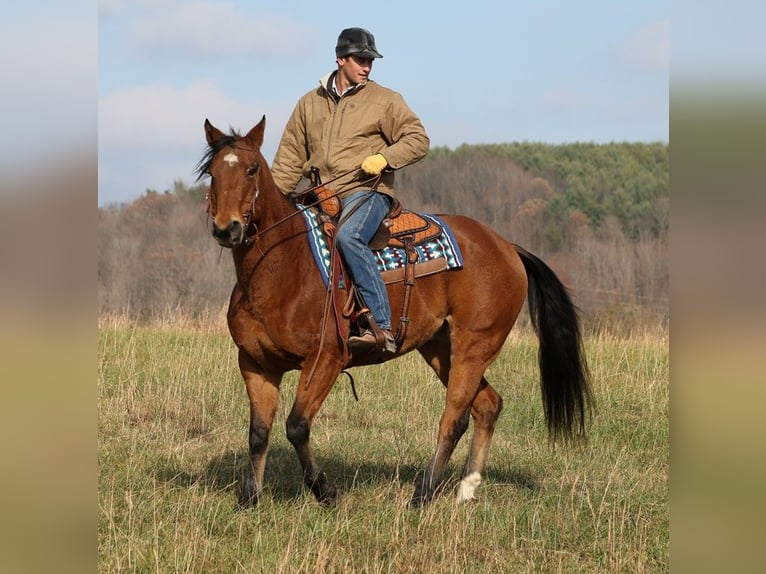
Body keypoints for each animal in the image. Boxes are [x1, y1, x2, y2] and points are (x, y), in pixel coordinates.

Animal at [196, 117, 592, 508]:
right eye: (213, 173)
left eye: (251, 169)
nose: (227, 228)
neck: (283, 268)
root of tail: (507, 246)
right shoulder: (255, 364)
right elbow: (259, 433)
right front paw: (249, 499)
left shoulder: (325, 360)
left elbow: (296, 426)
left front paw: (326, 492)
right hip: (440, 348)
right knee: (488, 405)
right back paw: (466, 488)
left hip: (476, 345)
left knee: (454, 418)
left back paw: (423, 493)